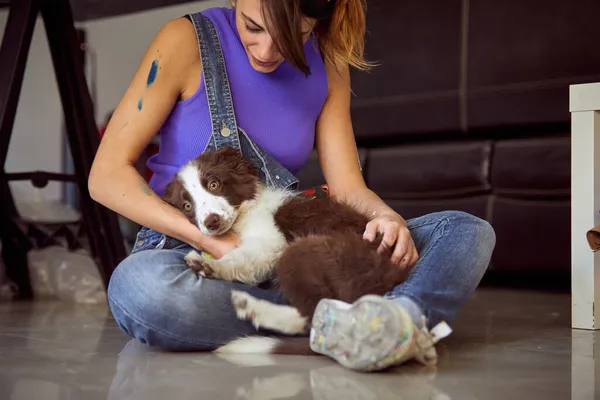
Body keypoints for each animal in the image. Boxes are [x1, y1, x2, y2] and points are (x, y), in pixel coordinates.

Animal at [163, 148, 408, 354]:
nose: (211, 222)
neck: (245, 211)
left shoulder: (270, 242)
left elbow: (241, 256)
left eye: (214, 184)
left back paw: (253, 308)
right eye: (187, 206)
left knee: (314, 316)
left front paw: (211, 265)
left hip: (303, 251)